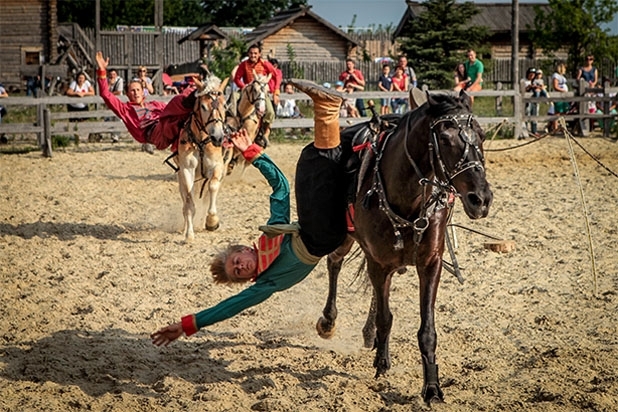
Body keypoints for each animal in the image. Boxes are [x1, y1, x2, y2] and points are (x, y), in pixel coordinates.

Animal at [176, 74, 229, 241]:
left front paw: (212, 221)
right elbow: (189, 203)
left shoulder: (217, 167)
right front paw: (189, 234)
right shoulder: (187, 170)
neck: (200, 142)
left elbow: (212, 186)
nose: (218, 137)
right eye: (204, 107)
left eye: (224, 106)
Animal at [318, 91, 490, 404]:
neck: (408, 200)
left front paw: (432, 387)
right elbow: (386, 318)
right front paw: (382, 363)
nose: (481, 199)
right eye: (444, 138)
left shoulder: (431, 264)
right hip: (347, 239)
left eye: (481, 135)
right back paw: (328, 321)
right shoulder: (377, 261)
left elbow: (427, 331)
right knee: (334, 262)